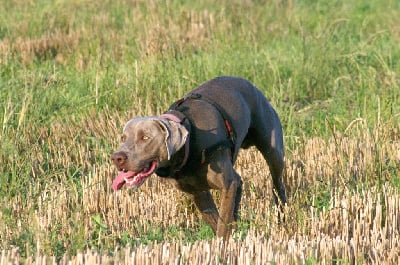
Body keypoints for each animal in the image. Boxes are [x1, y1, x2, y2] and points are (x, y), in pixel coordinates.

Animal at [111, 75, 288, 238]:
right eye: (123, 138)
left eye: (145, 137)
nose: (116, 158)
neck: (189, 145)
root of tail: (251, 84)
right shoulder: (198, 194)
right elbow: (218, 221)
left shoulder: (227, 184)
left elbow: (222, 224)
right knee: (239, 184)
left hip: (273, 152)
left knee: (277, 185)